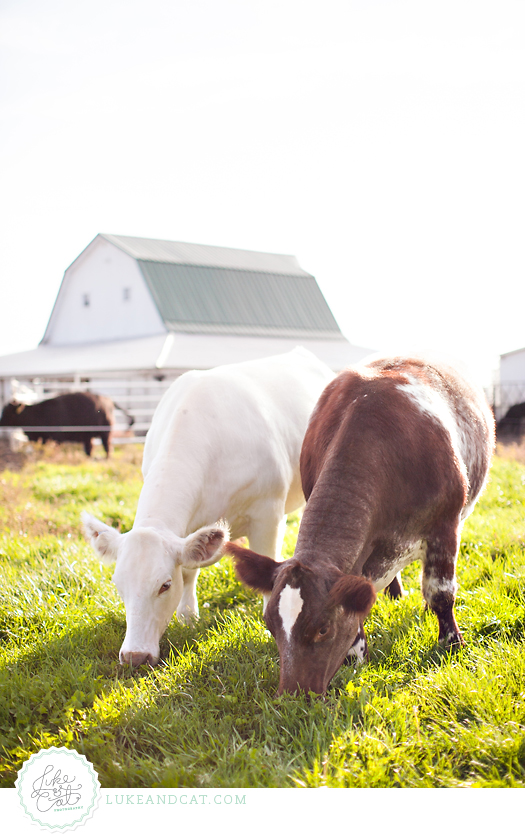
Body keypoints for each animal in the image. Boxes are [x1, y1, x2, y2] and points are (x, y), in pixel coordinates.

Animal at [0, 392, 130, 457]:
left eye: (7, 412)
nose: (0, 422)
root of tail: (107, 399)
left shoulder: (56, 438)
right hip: (89, 437)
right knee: (90, 450)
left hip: (105, 434)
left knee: (107, 448)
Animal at [82, 348, 335, 667]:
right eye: (118, 585)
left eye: (164, 585)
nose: (135, 656)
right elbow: (190, 571)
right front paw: (188, 616)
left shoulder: (268, 514)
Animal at [227, 355, 495, 696]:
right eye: (270, 625)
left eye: (323, 628)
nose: (292, 695)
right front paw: (355, 656)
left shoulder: (444, 526)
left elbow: (441, 592)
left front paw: (452, 642)